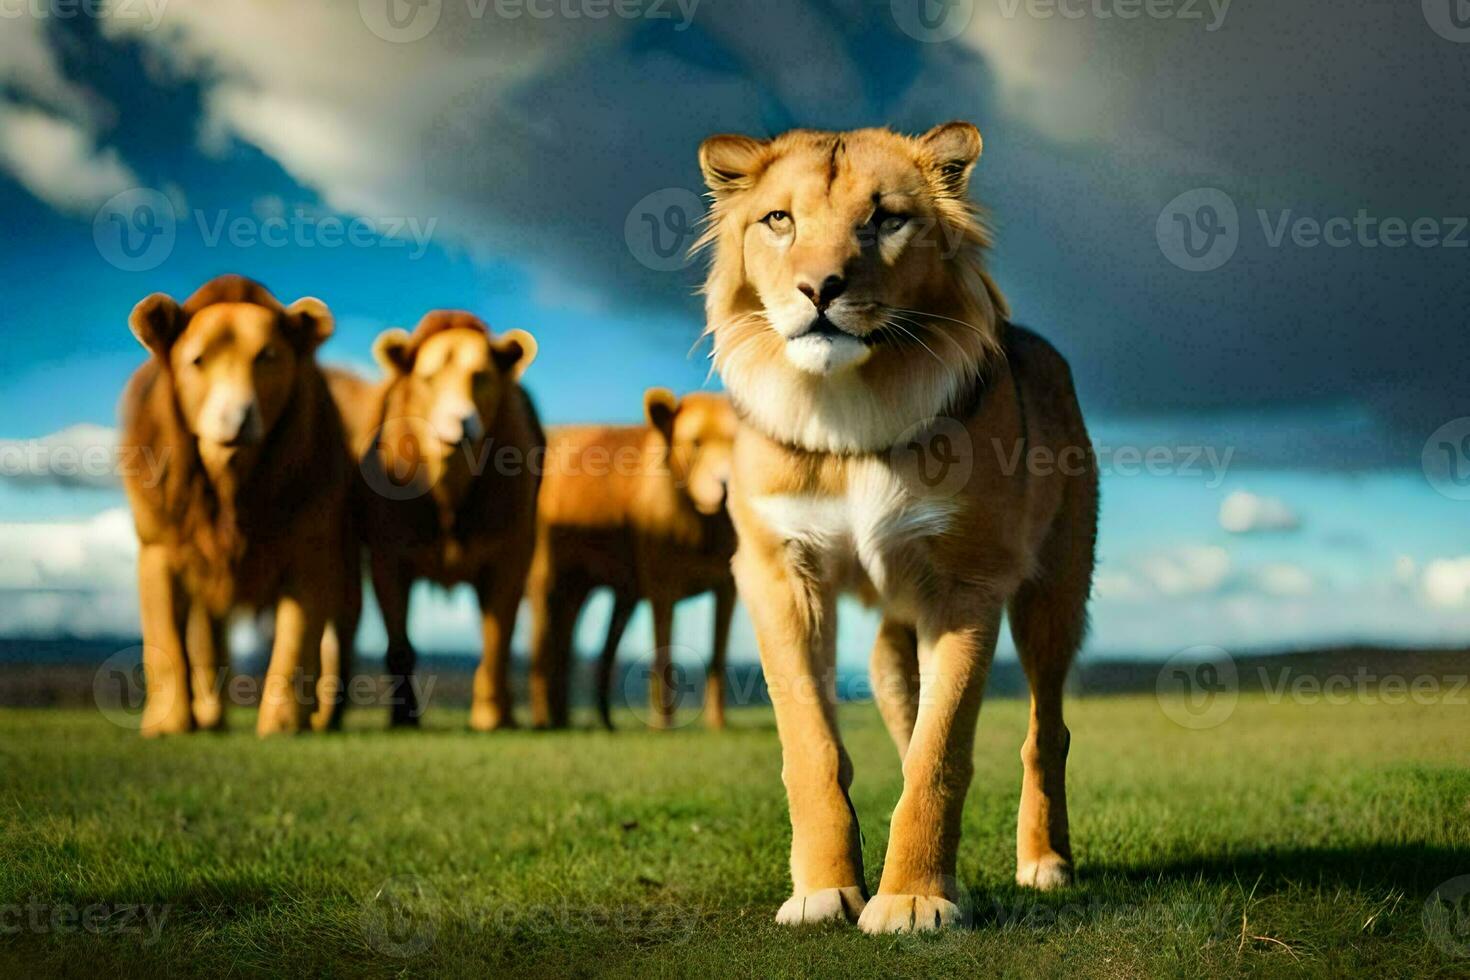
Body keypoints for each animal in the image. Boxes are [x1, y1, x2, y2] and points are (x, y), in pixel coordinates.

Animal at [119, 274, 360, 734]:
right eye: (197, 361)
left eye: (267, 357)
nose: (236, 415)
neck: (231, 485)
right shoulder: (157, 548)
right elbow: (165, 642)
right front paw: (168, 726)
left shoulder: (312, 552)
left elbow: (296, 641)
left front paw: (282, 726)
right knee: (206, 640)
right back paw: (210, 717)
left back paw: (324, 719)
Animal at [324, 310, 543, 731]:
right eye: (427, 379)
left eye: (482, 376)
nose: (459, 422)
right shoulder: (388, 557)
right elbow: (399, 648)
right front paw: (404, 716)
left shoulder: (511, 553)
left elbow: (497, 641)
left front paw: (493, 716)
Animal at [526, 387, 735, 728]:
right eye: (695, 443)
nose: (728, 486)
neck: (705, 526)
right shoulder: (661, 580)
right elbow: (663, 650)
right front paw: (664, 725)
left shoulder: (729, 586)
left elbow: (719, 653)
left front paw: (717, 725)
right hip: (546, 568)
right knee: (542, 637)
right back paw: (545, 720)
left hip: (580, 584)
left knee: (567, 640)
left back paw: (573, 719)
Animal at [693, 124, 1099, 934]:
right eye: (779, 220)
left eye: (886, 220)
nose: (819, 289)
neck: (850, 404)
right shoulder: (779, 573)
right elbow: (813, 745)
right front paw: (823, 891)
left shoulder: (968, 582)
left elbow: (937, 754)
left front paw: (913, 899)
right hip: (890, 643)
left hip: (1053, 596)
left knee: (1047, 732)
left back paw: (1046, 863)